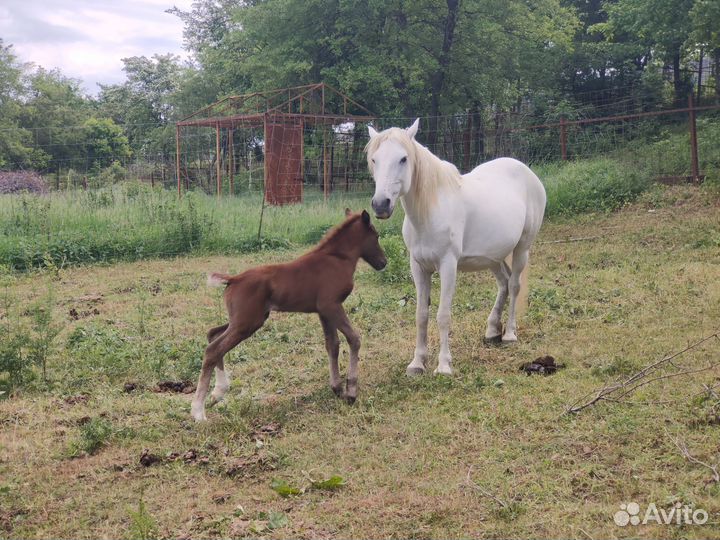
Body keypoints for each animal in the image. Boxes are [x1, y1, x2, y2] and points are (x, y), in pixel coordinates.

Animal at [188, 209, 386, 420]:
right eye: (376, 236)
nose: (383, 262)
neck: (337, 258)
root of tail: (234, 278)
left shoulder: (323, 311)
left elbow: (332, 345)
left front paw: (337, 388)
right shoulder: (332, 306)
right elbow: (354, 339)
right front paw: (351, 392)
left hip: (243, 320)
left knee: (213, 334)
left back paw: (219, 391)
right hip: (246, 323)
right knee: (213, 349)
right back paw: (198, 411)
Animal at [366, 118, 544, 376]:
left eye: (403, 158)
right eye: (374, 159)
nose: (381, 205)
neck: (430, 210)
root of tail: (528, 173)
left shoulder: (448, 266)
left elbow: (443, 315)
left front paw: (443, 366)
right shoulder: (418, 267)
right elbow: (421, 314)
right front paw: (417, 363)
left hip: (522, 248)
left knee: (514, 285)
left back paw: (509, 334)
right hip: (493, 256)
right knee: (504, 283)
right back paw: (492, 331)